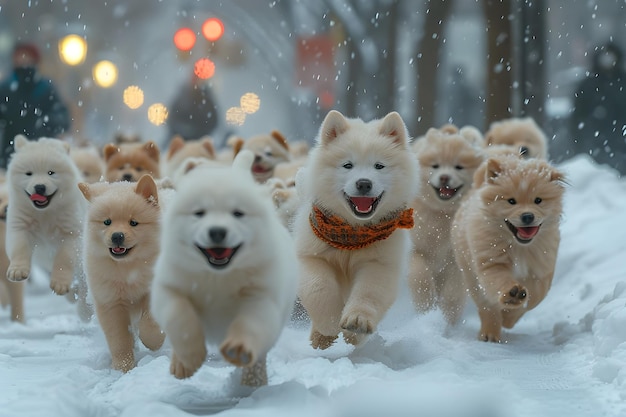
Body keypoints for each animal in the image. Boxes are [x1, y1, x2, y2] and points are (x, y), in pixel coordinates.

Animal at [78, 173, 163, 370]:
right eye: (107, 222)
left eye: (134, 223)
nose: (117, 236)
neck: (128, 267)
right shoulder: (110, 302)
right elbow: (118, 338)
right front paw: (123, 367)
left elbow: (150, 321)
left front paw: (154, 341)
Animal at [292, 109, 416, 348]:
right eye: (347, 165)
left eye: (379, 166)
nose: (364, 183)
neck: (352, 232)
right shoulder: (311, 255)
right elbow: (318, 288)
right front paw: (330, 325)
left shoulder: (380, 262)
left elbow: (368, 292)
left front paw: (356, 324)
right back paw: (320, 337)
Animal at [410, 125, 482, 324]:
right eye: (435, 166)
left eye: (459, 167)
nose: (444, 177)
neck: (443, 215)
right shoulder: (418, 249)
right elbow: (421, 276)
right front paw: (426, 307)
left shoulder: (456, 260)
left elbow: (453, 291)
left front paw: (447, 317)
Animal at [448, 156, 564, 342]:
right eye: (511, 201)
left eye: (538, 200)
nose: (527, 216)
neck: (519, 246)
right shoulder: (491, 260)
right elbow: (499, 281)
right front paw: (512, 296)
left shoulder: (540, 268)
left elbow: (535, 296)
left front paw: (510, 315)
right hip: (470, 274)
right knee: (486, 305)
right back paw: (490, 333)